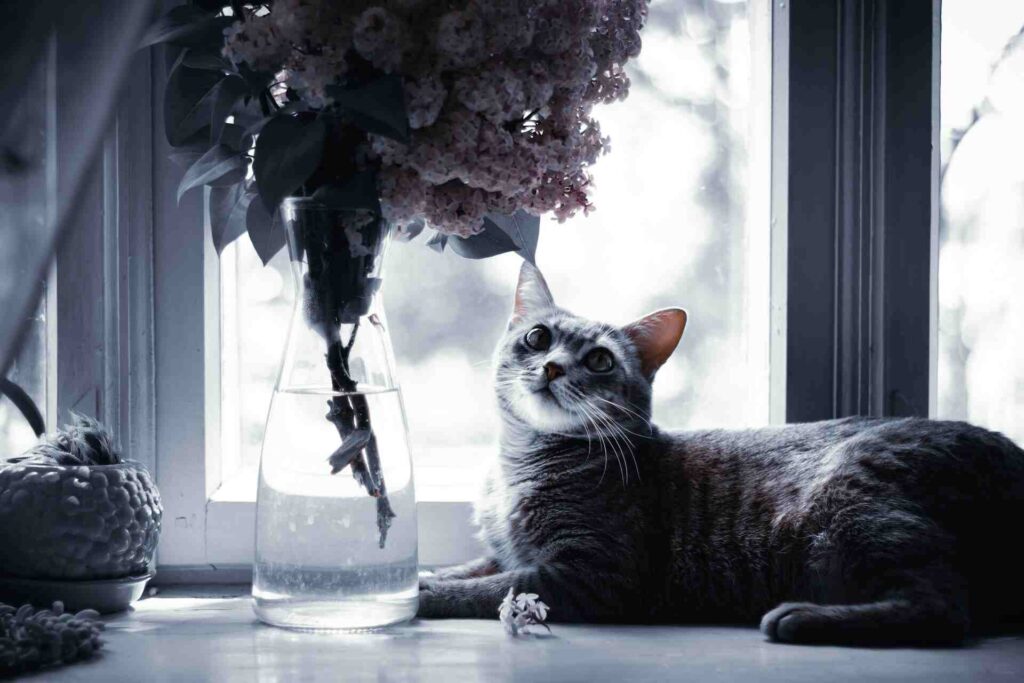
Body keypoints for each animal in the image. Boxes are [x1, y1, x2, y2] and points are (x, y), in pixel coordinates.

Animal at [419, 264, 1024, 647]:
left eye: (598, 361)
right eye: (538, 337)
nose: (551, 367)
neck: (518, 464)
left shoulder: (589, 572)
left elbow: (494, 588)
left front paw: (423, 594)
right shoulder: (507, 552)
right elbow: (476, 568)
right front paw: (429, 574)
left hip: (853, 501)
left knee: (944, 608)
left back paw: (798, 619)